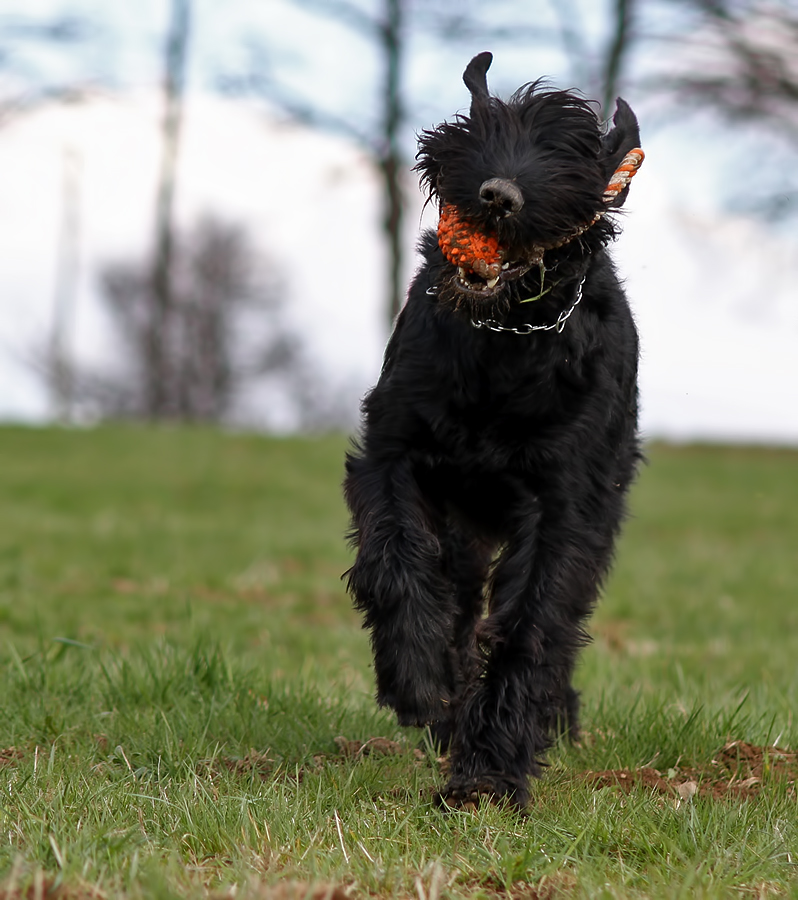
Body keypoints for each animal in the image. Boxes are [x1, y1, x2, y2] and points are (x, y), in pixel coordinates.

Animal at [344, 51, 644, 808]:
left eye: (572, 155)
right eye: (486, 126)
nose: (498, 194)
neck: (506, 339)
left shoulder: (566, 508)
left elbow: (534, 627)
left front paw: (490, 774)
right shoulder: (395, 455)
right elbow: (395, 560)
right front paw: (418, 680)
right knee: (451, 595)